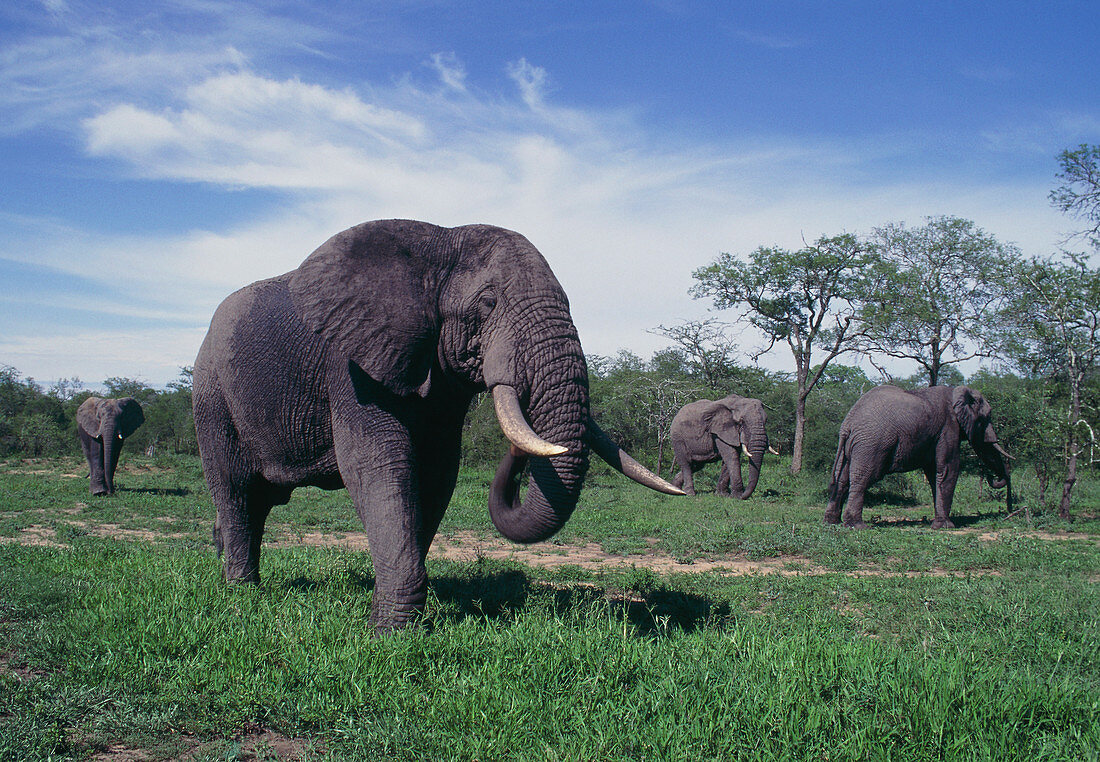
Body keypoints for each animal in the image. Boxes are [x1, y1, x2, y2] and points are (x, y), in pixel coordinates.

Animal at [193, 218, 682, 628]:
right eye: (487, 304)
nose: (517, 452)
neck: (439, 243)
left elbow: (437, 473)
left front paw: (392, 619)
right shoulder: (350, 363)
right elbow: (378, 465)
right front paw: (390, 633)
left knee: (256, 503)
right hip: (212, 395)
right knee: (235, 490)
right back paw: (242, 593)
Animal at [827, 387, 1012, 529]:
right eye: (986, 417)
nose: (991, 476)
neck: (956, 391)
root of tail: (848, 425)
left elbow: (934, 473)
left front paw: (939, 524)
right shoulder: (948, 427)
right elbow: (948, 469)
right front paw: (946, 527)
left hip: (851, 448)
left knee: (842, 479)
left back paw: (832, 523)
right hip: (871, 444)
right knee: (863, 478)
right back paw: (857, 526)